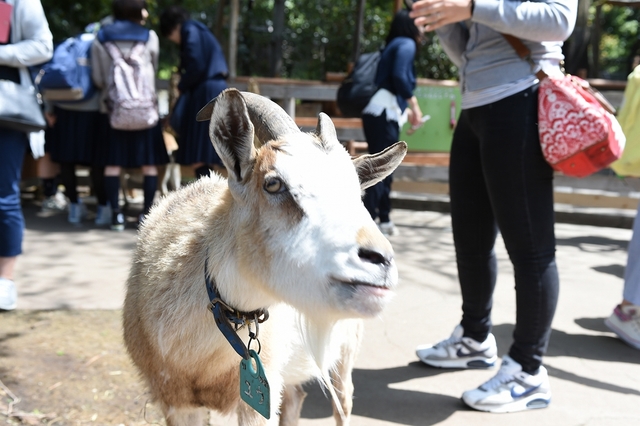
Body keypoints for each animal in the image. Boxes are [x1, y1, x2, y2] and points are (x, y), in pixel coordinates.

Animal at [122, 88, 408, 424]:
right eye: (273, 183)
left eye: (356, 192)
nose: (380, 260)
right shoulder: (175, 400)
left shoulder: (259, 397)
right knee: (296, 397)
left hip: (345, 350)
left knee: (343, 402)